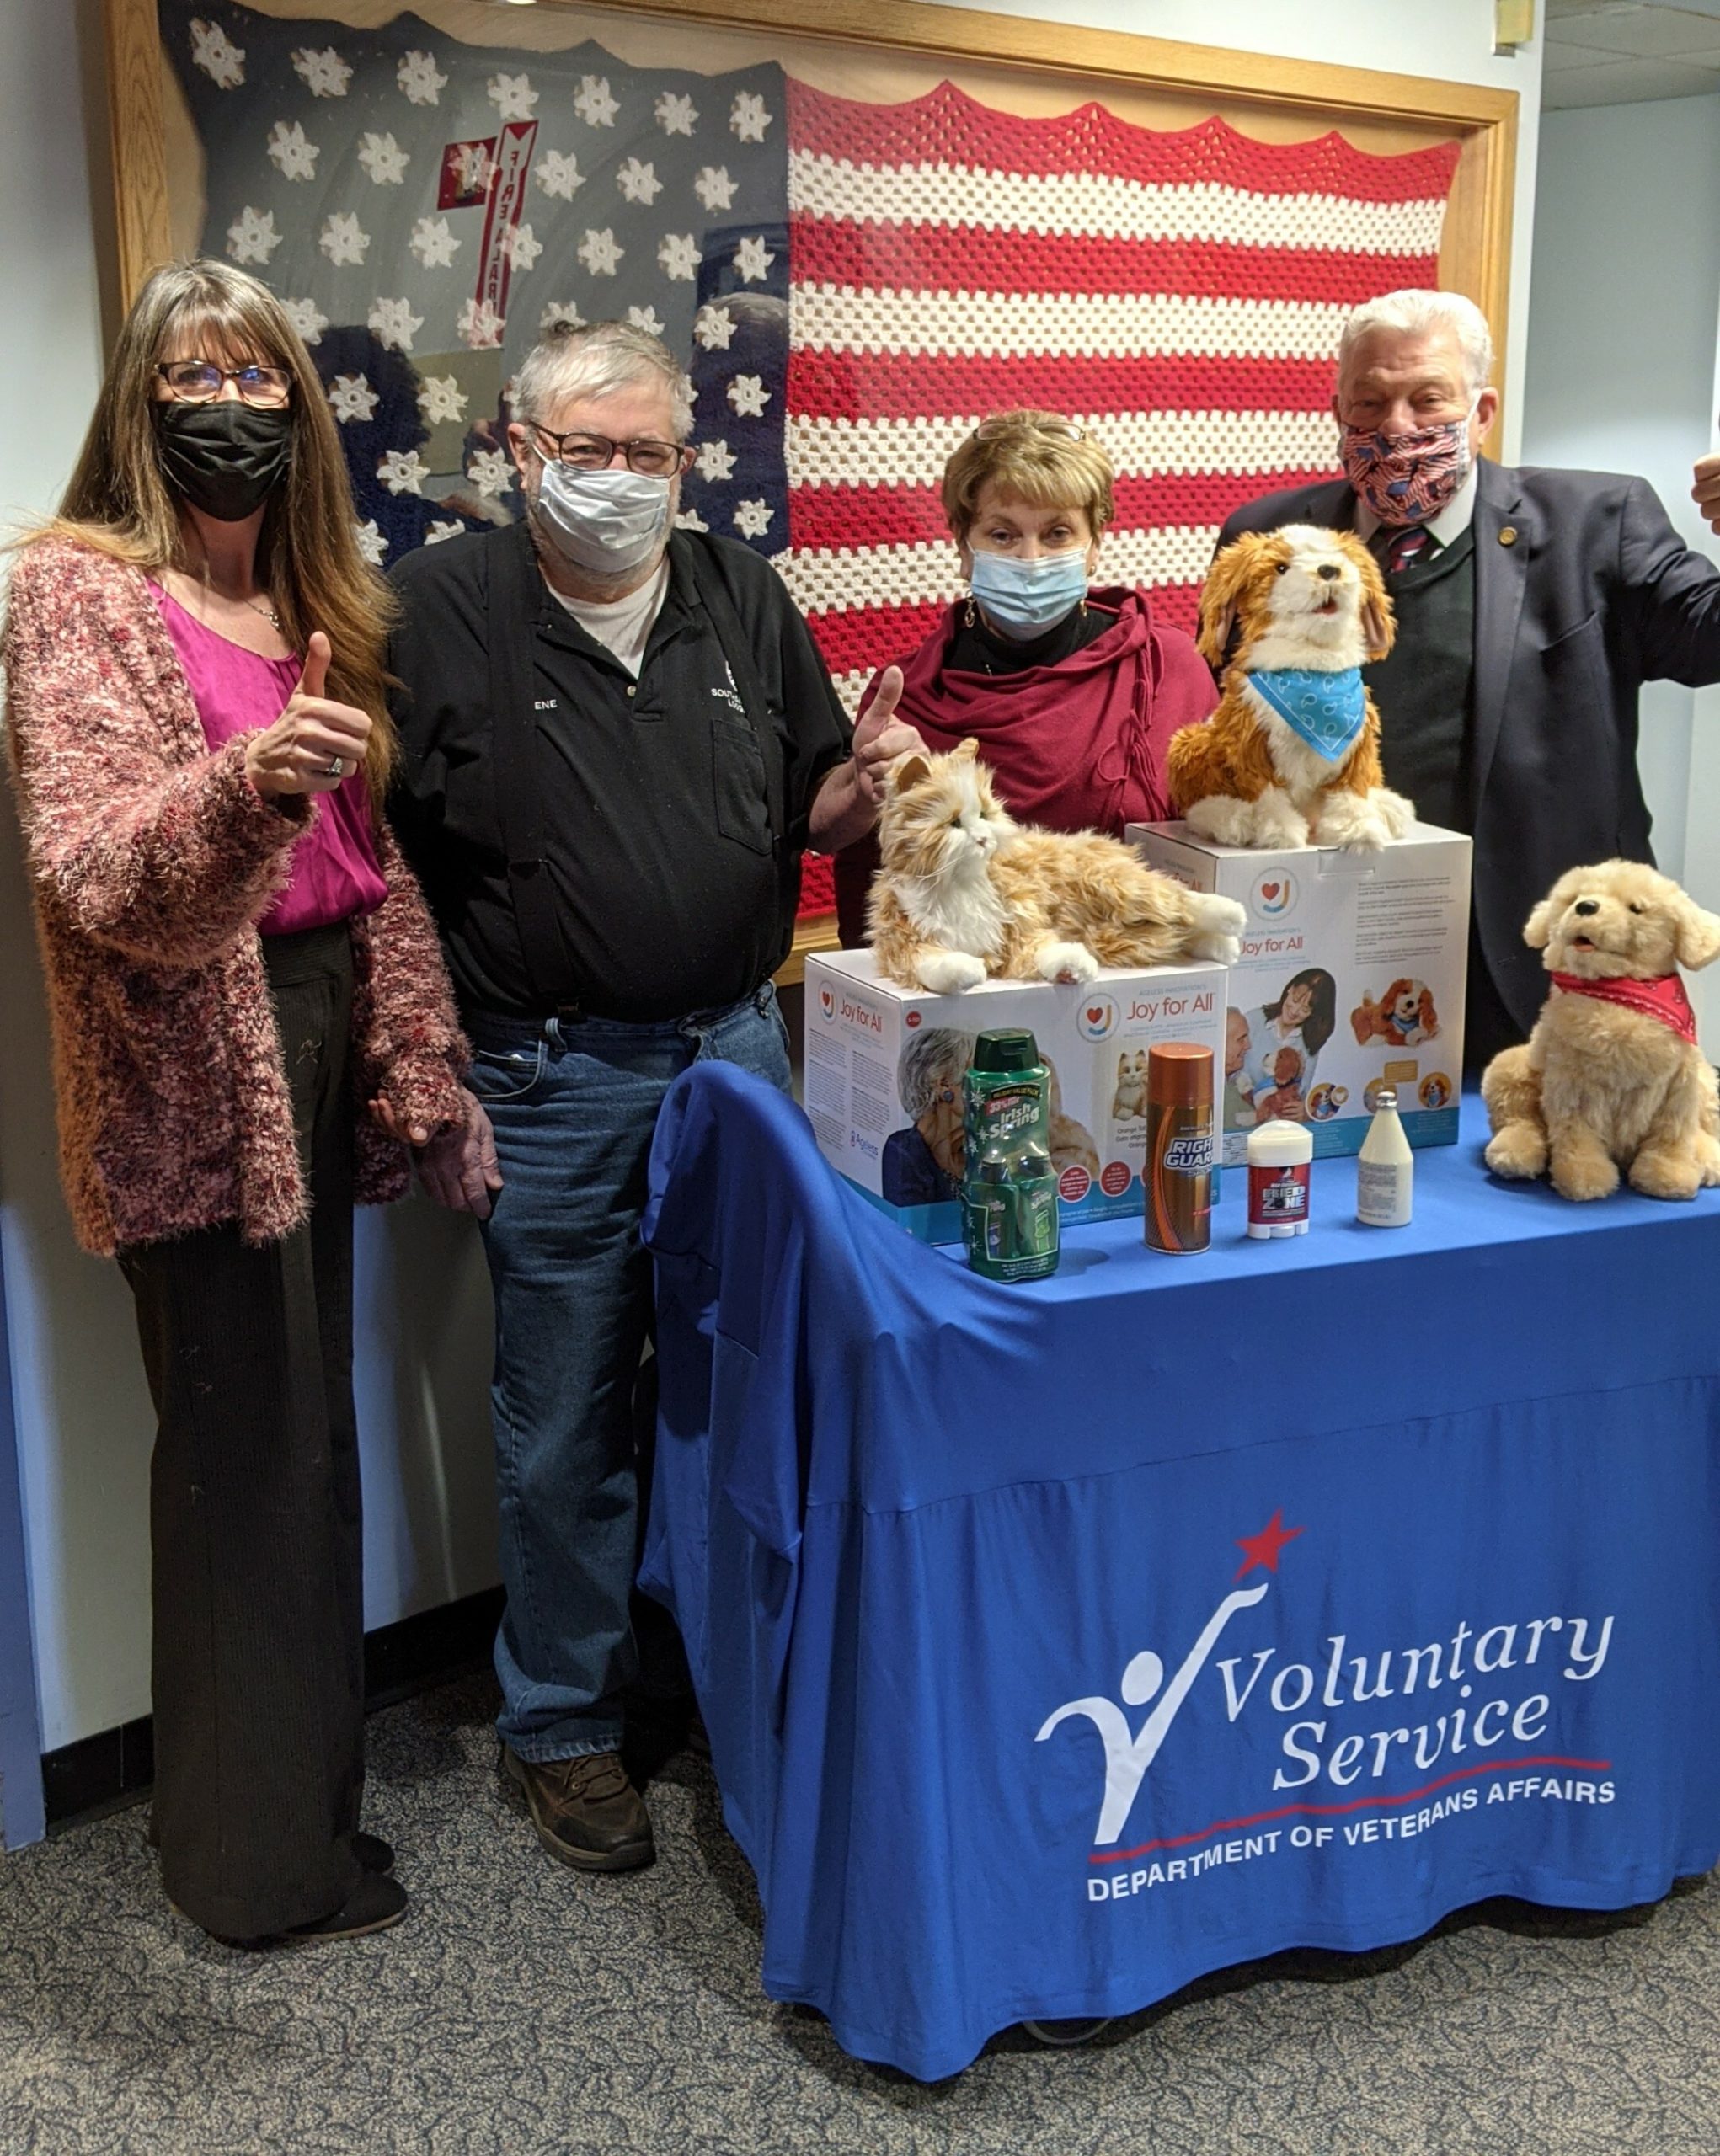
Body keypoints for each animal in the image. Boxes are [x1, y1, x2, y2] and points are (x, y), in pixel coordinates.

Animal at [1172, 526, 1413, 853]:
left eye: (1340, 556)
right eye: (1281, 568)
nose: (1329, 570)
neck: (1315, 668)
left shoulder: (1359, 744)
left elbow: (1352, 790)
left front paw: (1358, 832)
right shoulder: (1249, 741)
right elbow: (1268, 794)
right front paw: (1279, 833)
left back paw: (1391, 808)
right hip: (1192, 744)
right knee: (1200, 804)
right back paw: (1229, 819)